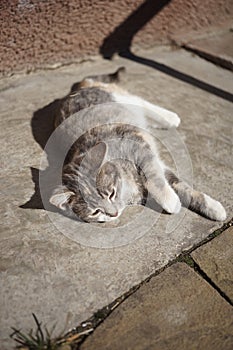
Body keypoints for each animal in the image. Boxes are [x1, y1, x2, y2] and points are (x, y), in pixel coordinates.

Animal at [49, 67, 226, 223]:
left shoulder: (139, 147)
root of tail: (74, 90)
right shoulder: (158, 165)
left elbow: (158, 180)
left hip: (120, 99)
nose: (113, 213)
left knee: (143, 103)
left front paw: (175, 202)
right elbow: (179, 185)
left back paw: (170, 118)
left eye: (111, 193)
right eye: (95, 212)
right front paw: (210, 207)